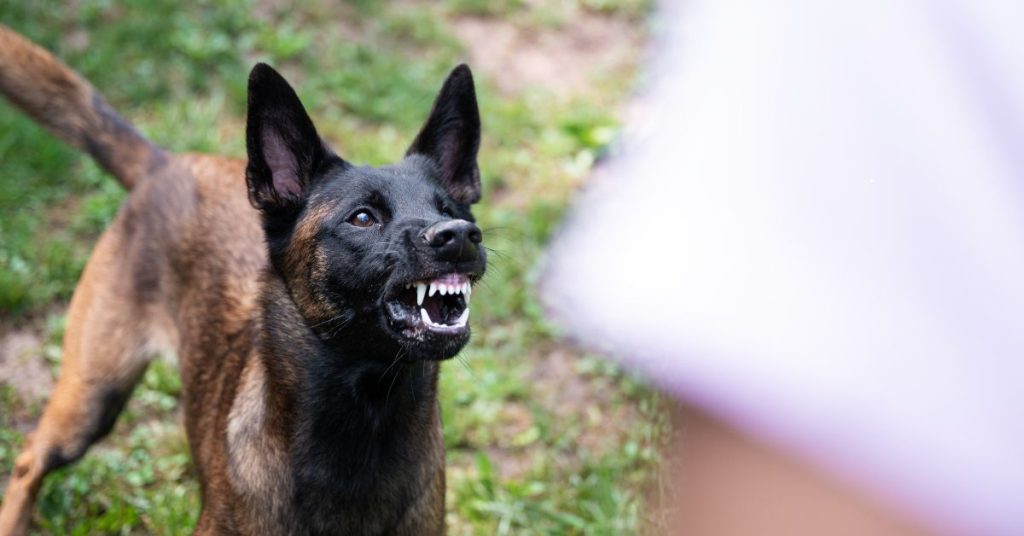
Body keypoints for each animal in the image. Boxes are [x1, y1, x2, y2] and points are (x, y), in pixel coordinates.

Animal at [0, 23, 485, 532]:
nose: (459, 235)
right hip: (92, 394)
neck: (366, 417)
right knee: (30, 458)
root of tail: (164, 163)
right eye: (363, 217)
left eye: (448, 209)